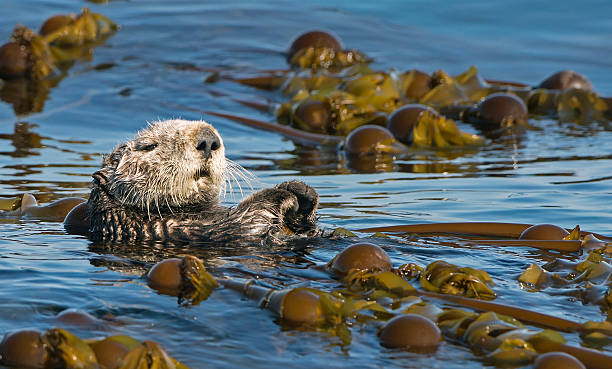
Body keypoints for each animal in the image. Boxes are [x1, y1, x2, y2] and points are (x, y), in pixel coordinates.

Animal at [83, 118, 318, 244]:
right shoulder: (173, 229)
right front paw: (281, 194)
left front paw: (300, 190)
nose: (208, 139)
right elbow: (246, 222)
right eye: (148, 146)